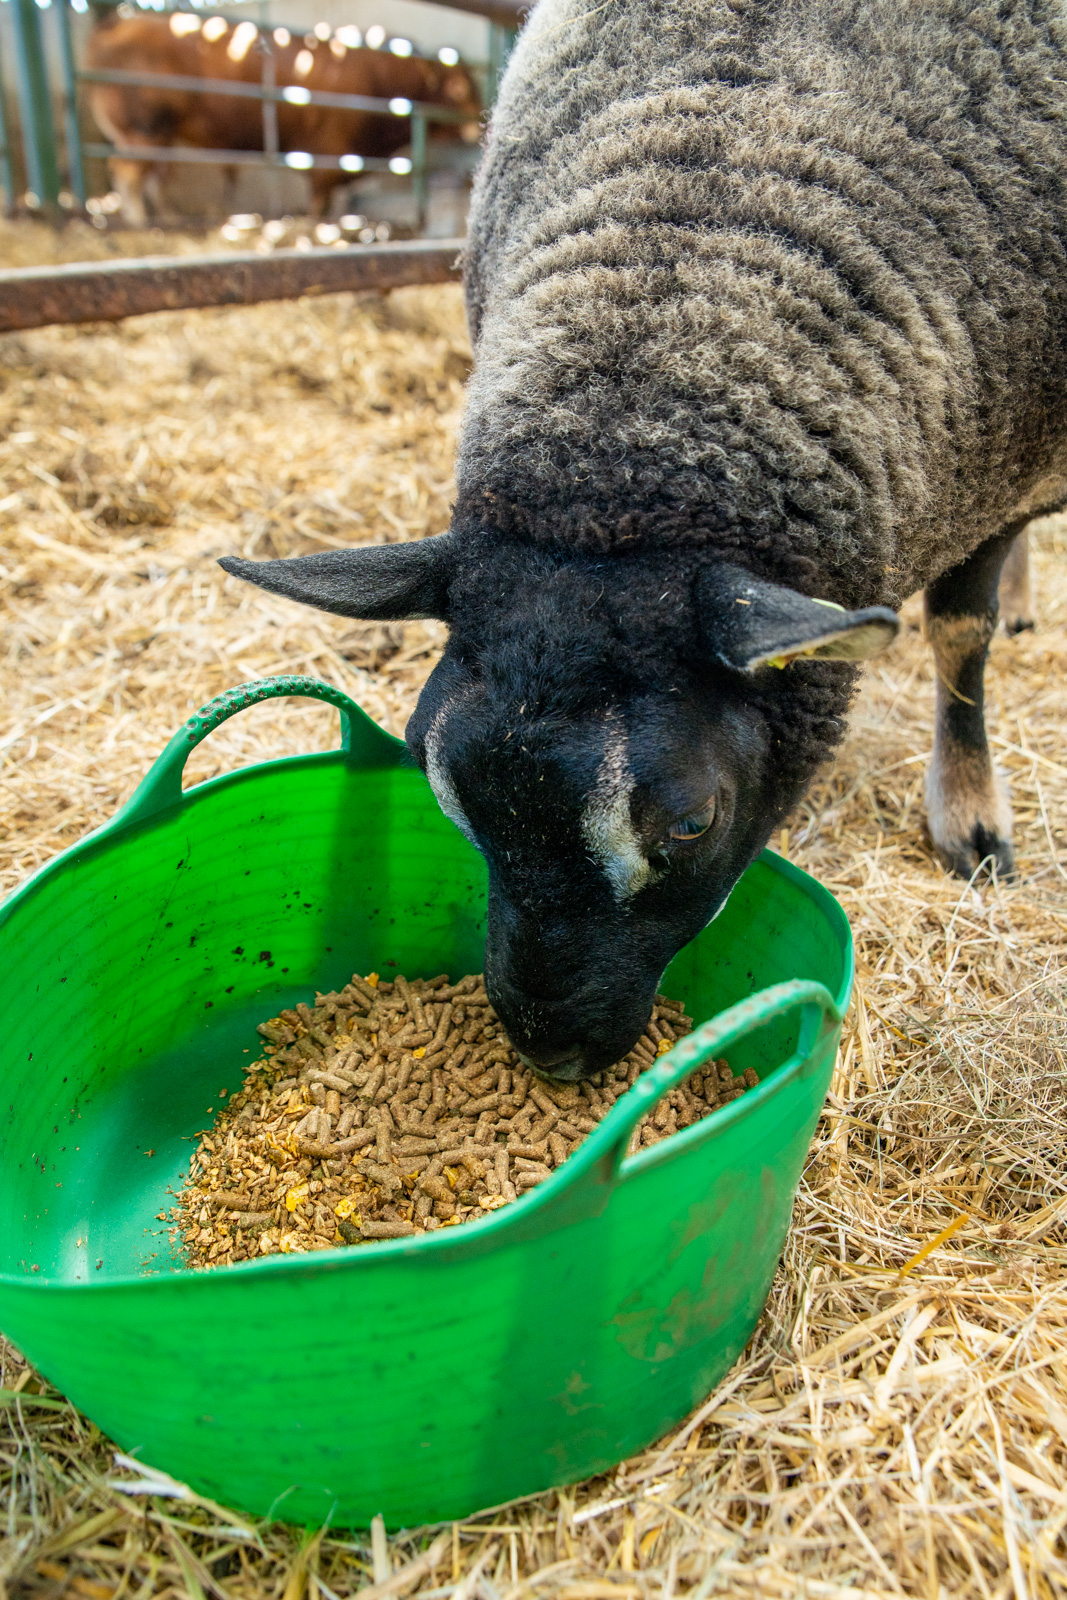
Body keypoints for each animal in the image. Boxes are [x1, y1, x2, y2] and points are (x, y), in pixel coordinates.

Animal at [222, 0, 1067, 1080]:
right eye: (441, 795)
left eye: (692, 823)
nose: (553, 1055)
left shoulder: (1002, 464)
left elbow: (959, 633)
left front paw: (969, 818)